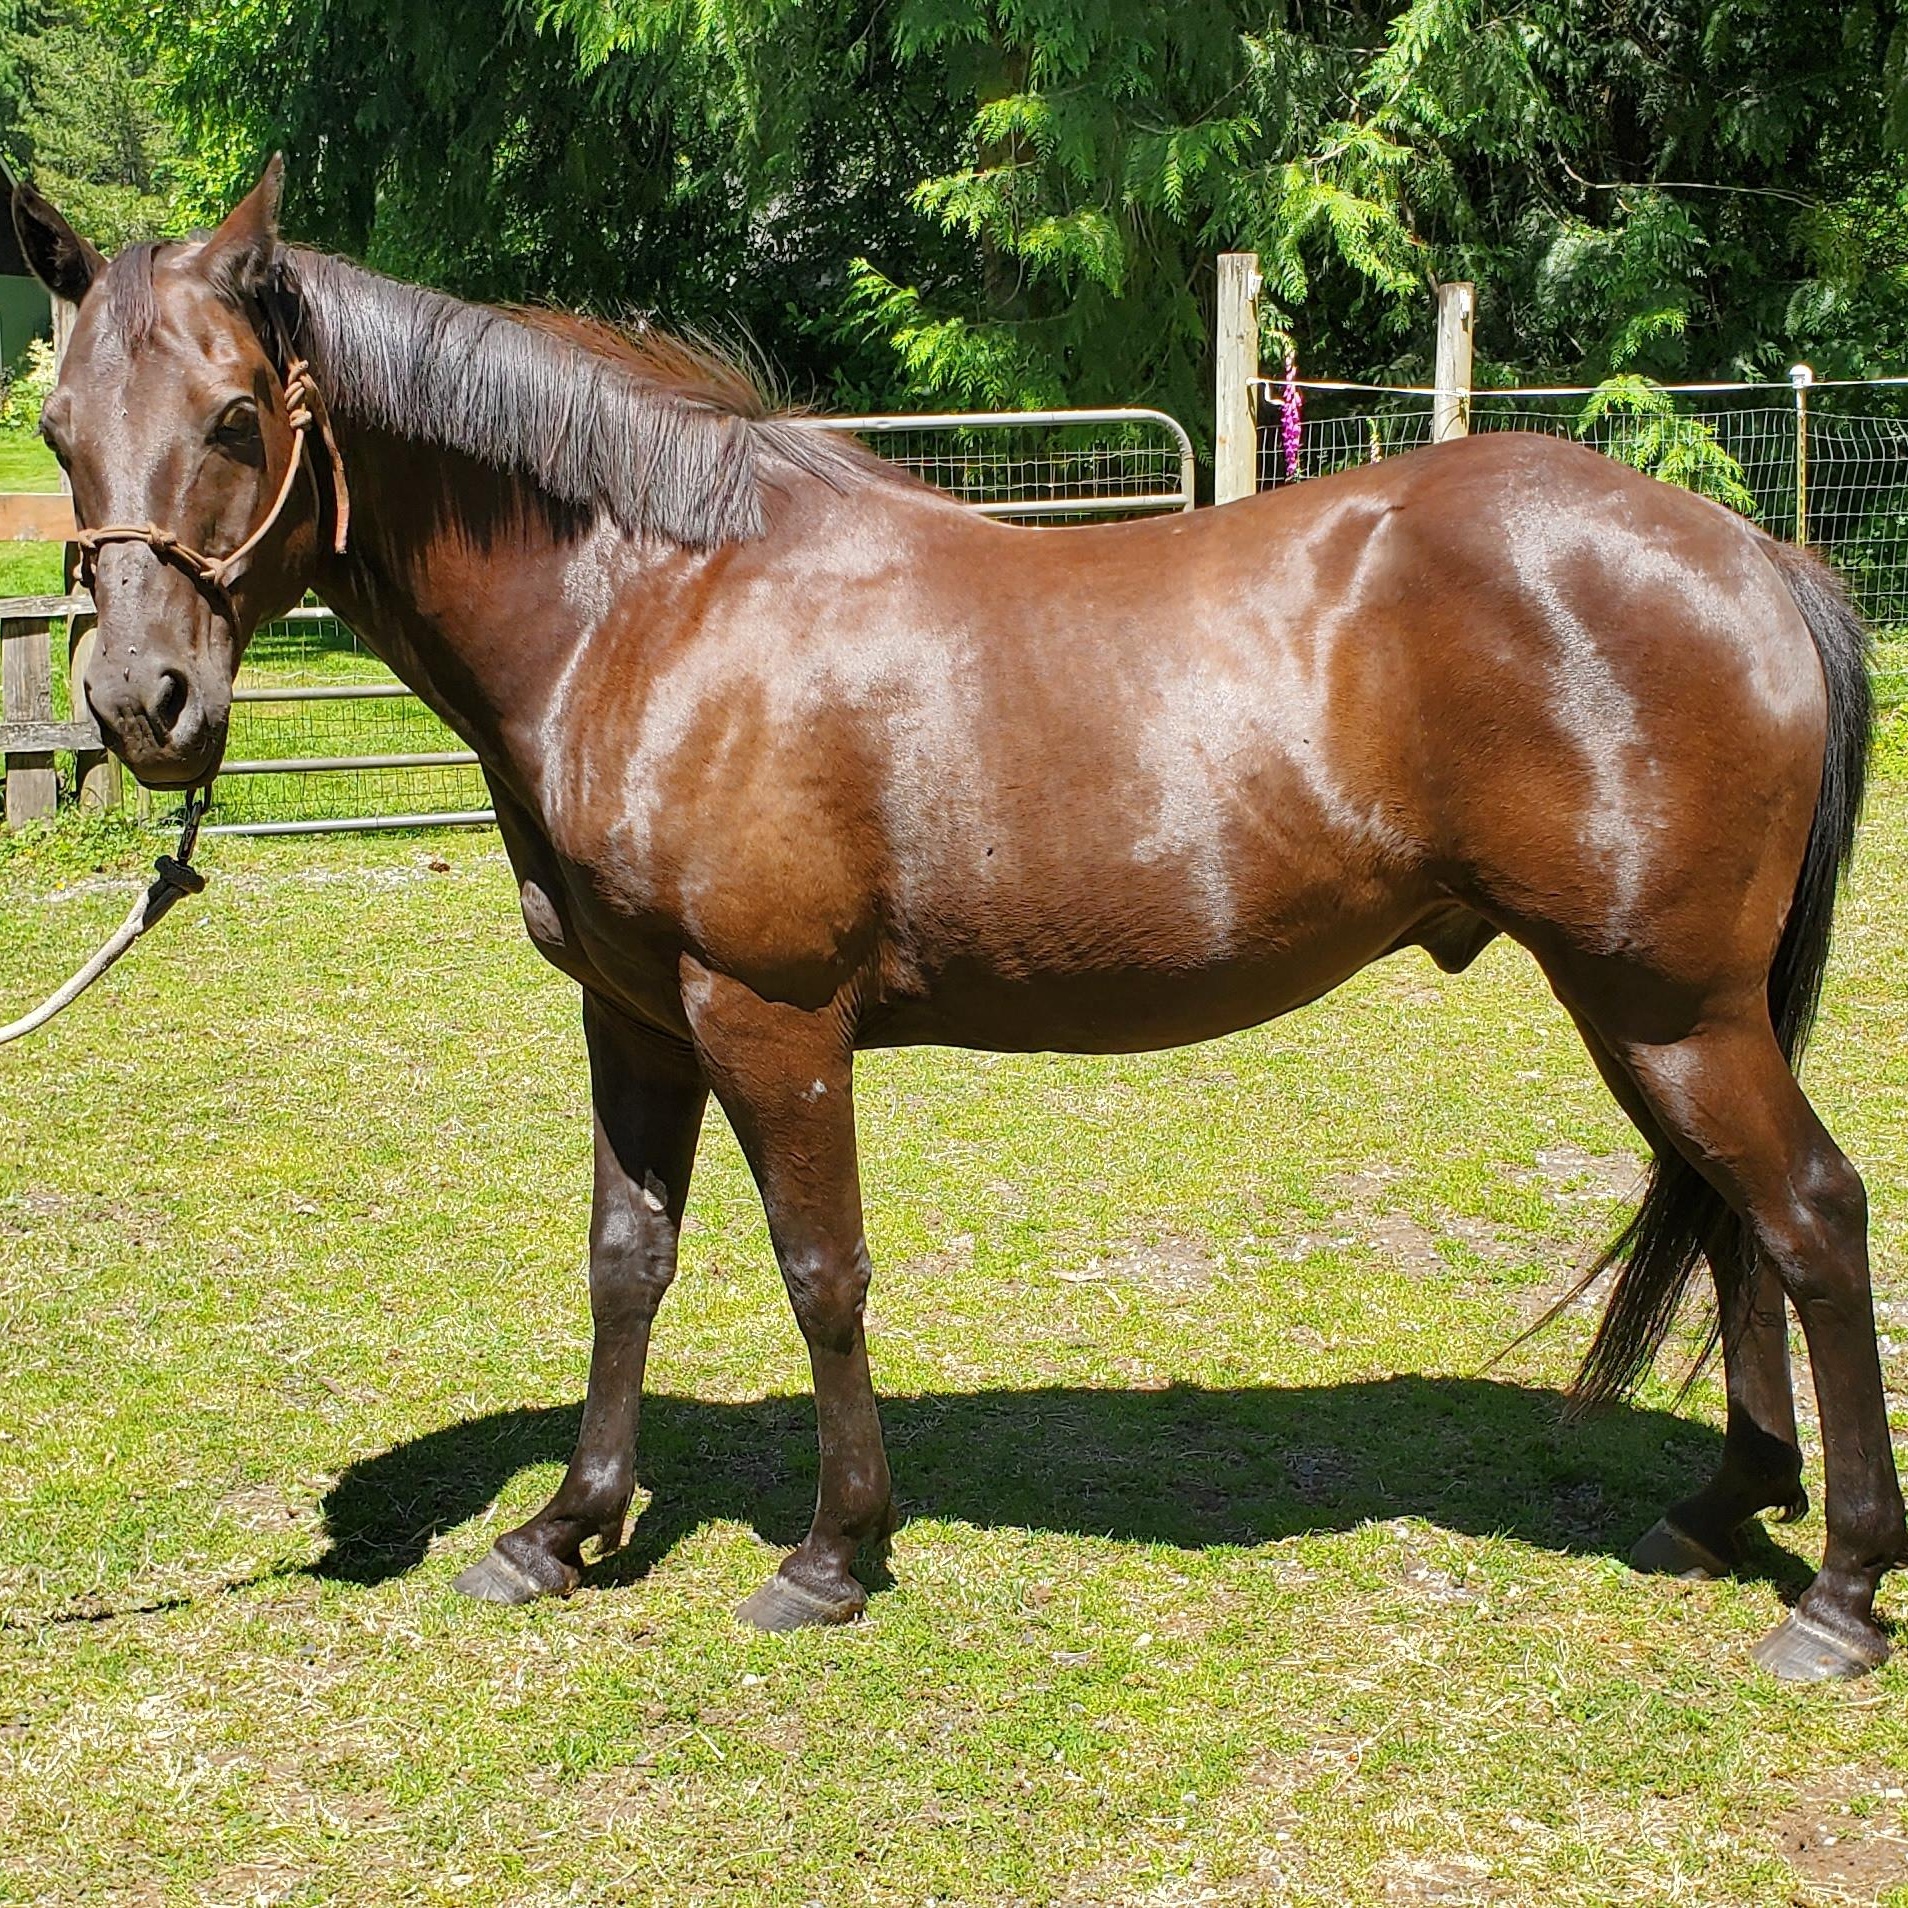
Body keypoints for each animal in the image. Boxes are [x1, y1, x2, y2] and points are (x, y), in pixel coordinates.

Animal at [14, 158, 1898, 1681]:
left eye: (240, 416)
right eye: (56, 436)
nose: (141, 703)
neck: (652, 604)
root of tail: (1756, 554)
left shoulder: (766, 1015)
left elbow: (820, 1267)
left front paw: (830, 1554)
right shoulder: (632, 1015)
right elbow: (628, 1259)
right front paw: (563, 1529)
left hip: (1668, 1006)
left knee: (1806, 1214)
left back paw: (1837, 1594)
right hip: (1653, 1012)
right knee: (1736, 1222)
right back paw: (1724, 1508)